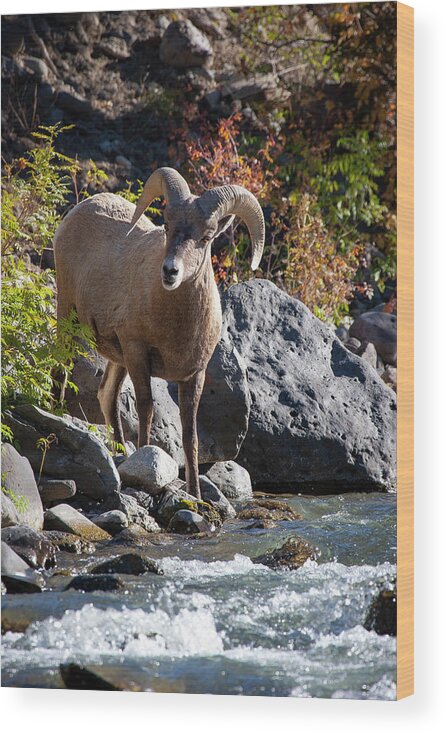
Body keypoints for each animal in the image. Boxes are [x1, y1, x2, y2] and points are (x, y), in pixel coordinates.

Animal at [53, 168, 264, 500]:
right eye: (166, 226)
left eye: (206, 237)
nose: (170, 272)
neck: (175, 325)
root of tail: (80, 208)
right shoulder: (138, 354)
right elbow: (146, 410)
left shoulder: (194, 375)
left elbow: (190, 434)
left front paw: (195, 495)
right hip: (70, 317)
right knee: (61, 373)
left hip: (117, 358)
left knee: (107, 395)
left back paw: (118, 452)